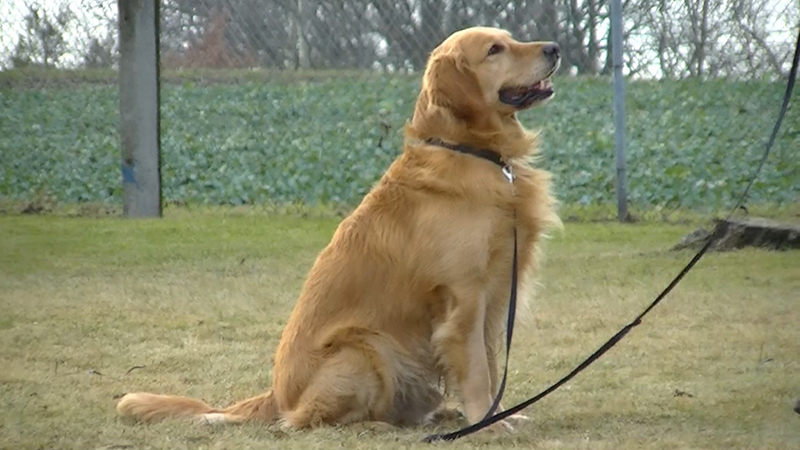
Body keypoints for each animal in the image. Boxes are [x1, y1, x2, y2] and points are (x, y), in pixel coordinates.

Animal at [115, 26, 564, 434]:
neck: (472, 151)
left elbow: (490, 366)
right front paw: (487, 424)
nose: (555, 47)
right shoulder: (465, 298)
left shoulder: (494, 298)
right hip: (365, 348)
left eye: (510, 38)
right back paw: (378, 427)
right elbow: (477, 372)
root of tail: (276, 396)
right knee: (305, 422)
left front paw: (502, 415)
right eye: (494, 49)